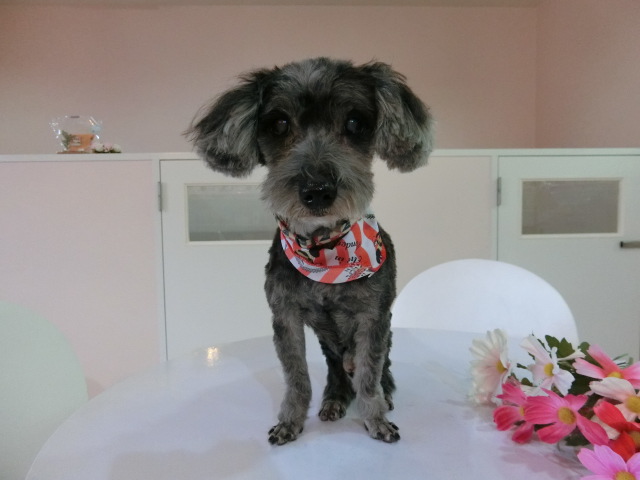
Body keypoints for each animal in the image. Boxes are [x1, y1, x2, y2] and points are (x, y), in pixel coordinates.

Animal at [187, 57, 433, 444]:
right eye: (279, 123)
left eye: (354, 123)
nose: (318, 190)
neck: (325, 250)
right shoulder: (284, 316)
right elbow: (297, 376)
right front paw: (291, 420)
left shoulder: (374, 318)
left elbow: (369, 376)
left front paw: (376, 418)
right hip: (331, 350)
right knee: (336, 373)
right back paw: (334, 400)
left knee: (381, 372)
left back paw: (385, 395)